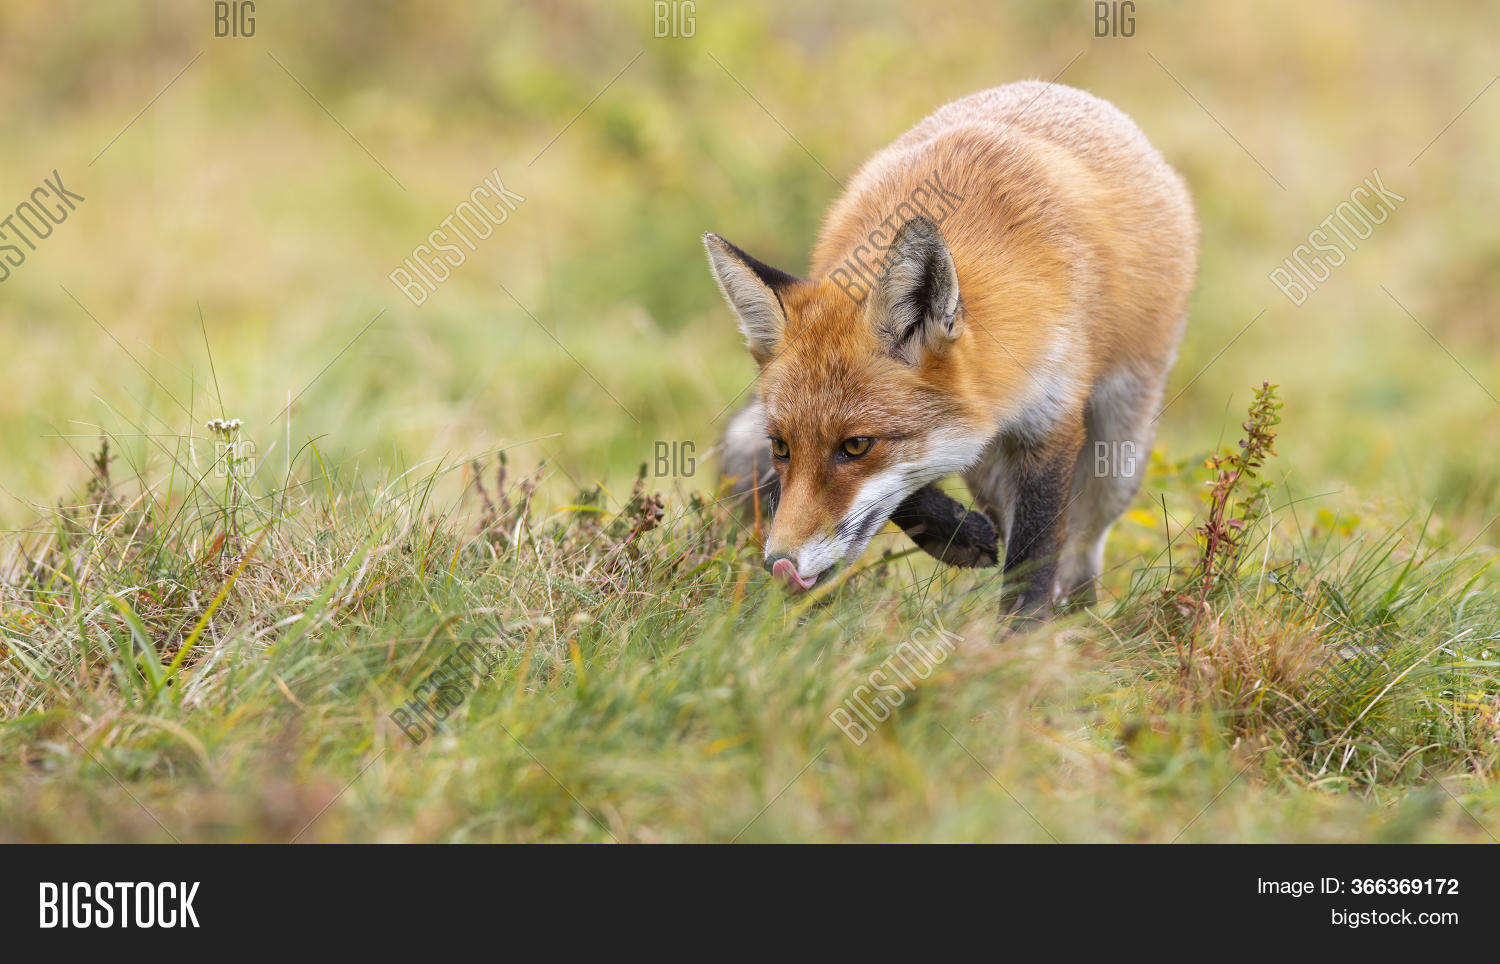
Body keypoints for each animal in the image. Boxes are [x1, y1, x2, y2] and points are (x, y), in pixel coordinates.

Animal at [707, 81, 1197, 616]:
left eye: (856, 446)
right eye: (781, 447)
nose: (780, 564)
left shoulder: (1052, 417)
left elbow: (1034, 553)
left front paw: (1021, 634)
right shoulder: (976, 422)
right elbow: (917, 491)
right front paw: (958, 537)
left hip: (1120, 449)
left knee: (1083, 540)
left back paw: (1076, 613)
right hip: (990, 467)